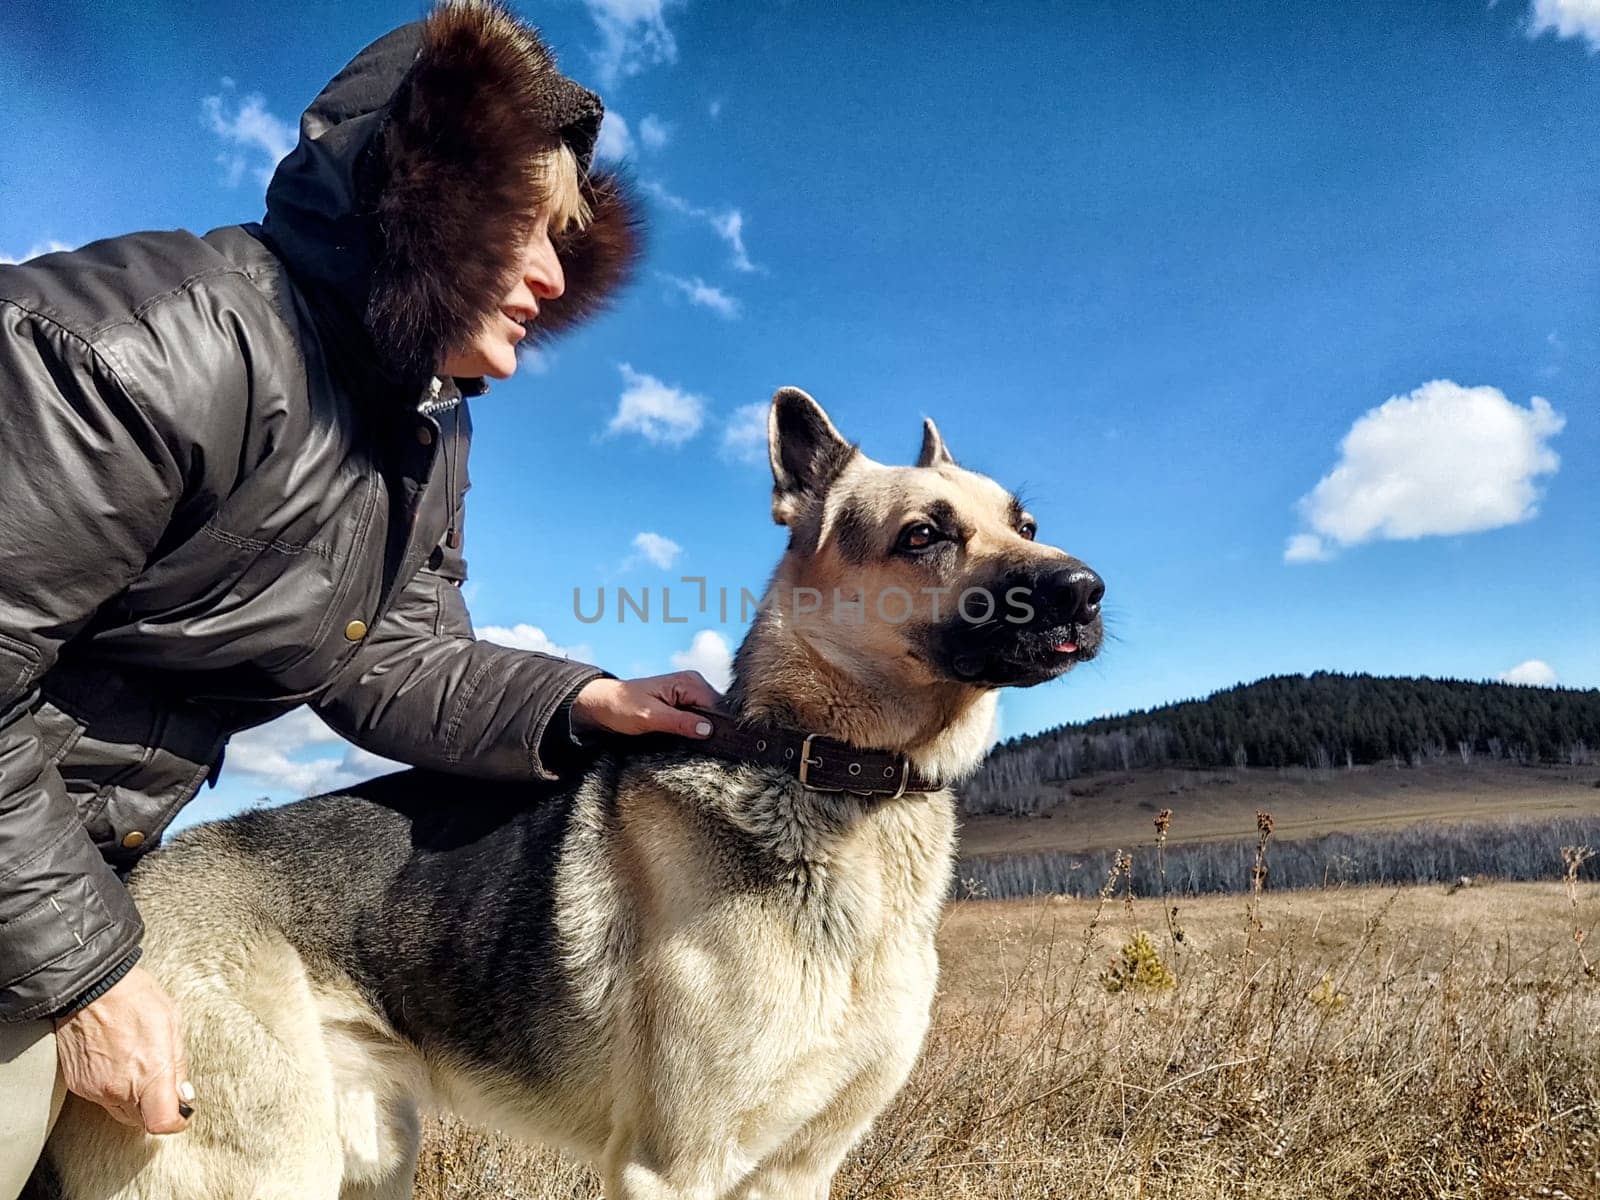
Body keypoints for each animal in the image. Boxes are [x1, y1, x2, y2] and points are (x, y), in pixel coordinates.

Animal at [43, 390, 1107, 1196]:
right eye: (924, 535)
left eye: (1026, 524)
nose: (1085, 590)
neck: (819, 765)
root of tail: (134, 895)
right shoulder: (672, 1169)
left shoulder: (800, 1170)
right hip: (264, 1165)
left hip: (367, 1155)